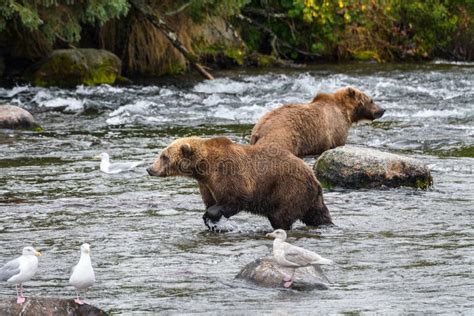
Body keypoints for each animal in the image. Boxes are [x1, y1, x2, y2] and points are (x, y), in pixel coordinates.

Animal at [146, 136, 332, 230]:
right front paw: (209, 219)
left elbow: (234, 199)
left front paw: (210, 216)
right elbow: (211, 200)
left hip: (288, 189)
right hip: (309, 197)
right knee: (317, 215)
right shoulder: (206, 185)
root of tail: (313, 177)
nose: (150, 169)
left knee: (281, 217)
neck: (204, 168)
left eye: (164, 156)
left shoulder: (229, 173)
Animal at [250, 86, 384, 157]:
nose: (383, 110)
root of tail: (258, 130)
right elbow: (339, 142)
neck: (347, 112)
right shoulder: (336, 126)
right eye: (371, 100)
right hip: (282, 135)